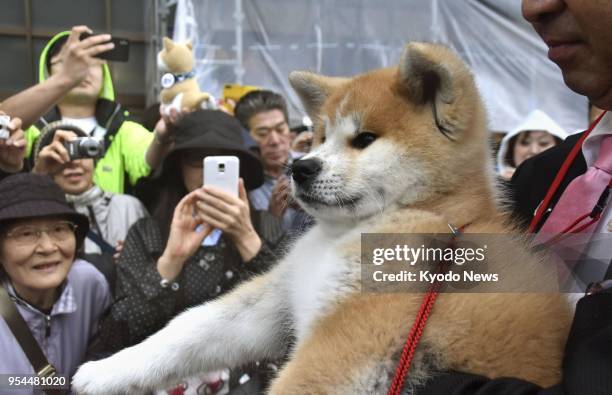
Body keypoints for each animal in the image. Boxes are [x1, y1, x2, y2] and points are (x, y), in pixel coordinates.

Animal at [73, 41, 572, 394]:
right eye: (320, 136)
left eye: (364, 139)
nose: (300, 167)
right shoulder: (279, 298)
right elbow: (184, 330)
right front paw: (104, 371)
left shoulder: (352, 338)